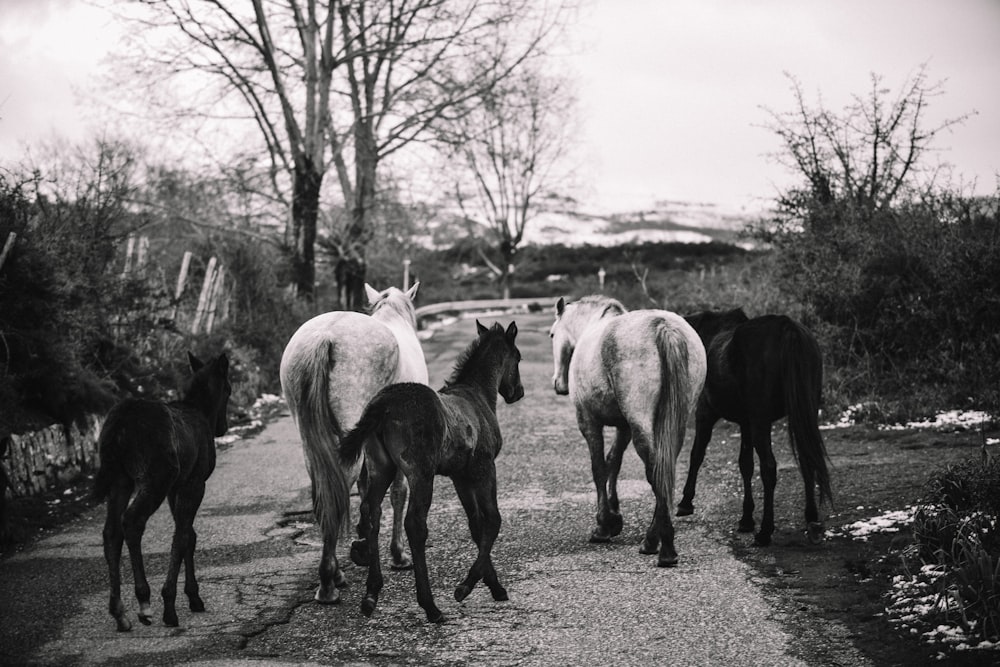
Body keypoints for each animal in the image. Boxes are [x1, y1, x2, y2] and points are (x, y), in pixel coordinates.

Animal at [93, 352, 231, 636]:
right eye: (229, 390)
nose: (222, 428)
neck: (202, 410)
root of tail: (118, 425)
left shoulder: (177, 486)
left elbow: (189, 534)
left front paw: (193, 596)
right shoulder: (194, 481)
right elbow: (182, 536)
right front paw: (172, 603)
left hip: (120, 478)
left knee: (111, 530)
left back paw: (119, 611)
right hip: (156, 476)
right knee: (132, 521)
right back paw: (144, 601)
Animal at [280, 282, 428, 604]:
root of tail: (324, 336)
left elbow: (367, 489)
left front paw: (362, 539)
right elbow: (397, 492)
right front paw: (398, 555)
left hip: (312, 438)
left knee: (325, 492)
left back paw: (334, 574)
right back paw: (327, 583)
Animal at [340, 320, 524, 624]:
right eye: (518, 358)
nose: (517, 392)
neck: (476, 395)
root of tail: (383, 405)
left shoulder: (461, 476)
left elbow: (476, 524)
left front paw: (493, 585)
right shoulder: (485, 468)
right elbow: (493, 520)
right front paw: (466, 587)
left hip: (382, 468)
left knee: (371, 514)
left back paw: (371, 595)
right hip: (421, 474)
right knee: (415, 524)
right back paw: (430, 606)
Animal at [676, 310, 832, 544]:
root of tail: (786, 327)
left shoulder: (705, 412)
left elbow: (696, 454)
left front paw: (686, 502)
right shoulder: (746, 423)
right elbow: (745, 464)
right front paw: (746, 518)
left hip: (761, 420)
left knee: (769, 467)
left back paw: (766, 531)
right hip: (804, 411)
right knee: (807, 460)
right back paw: (811, 519)